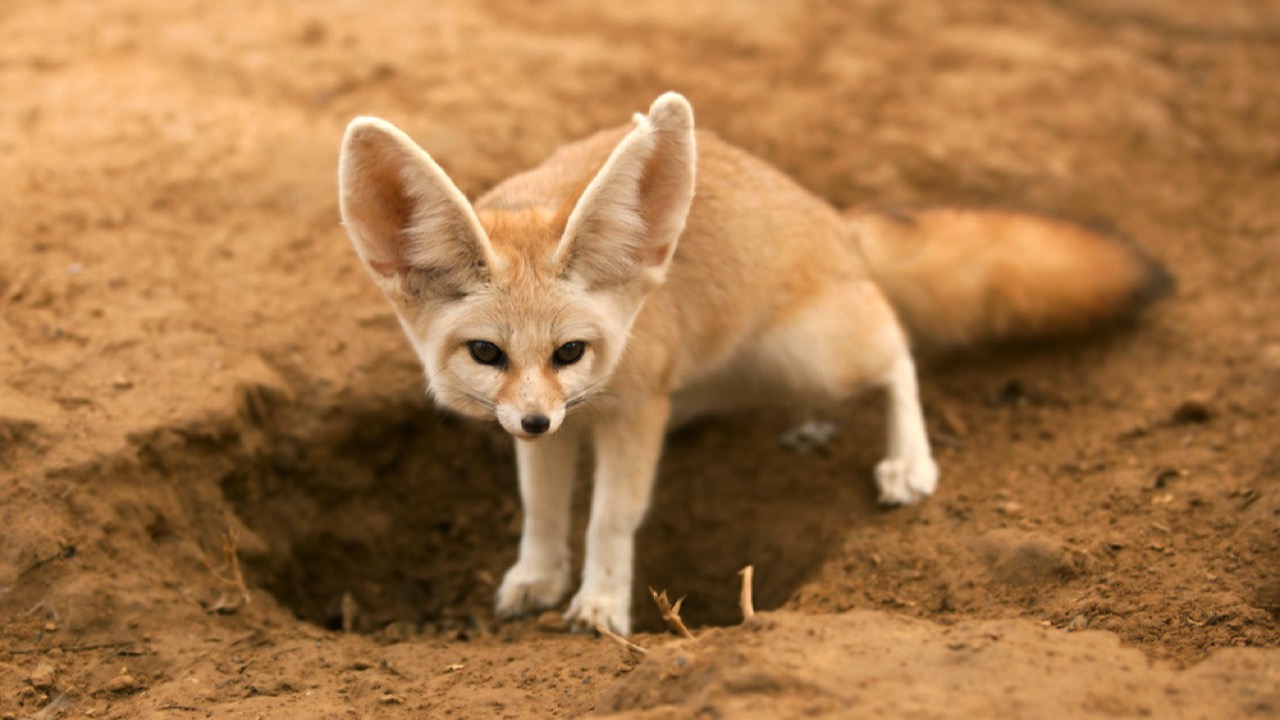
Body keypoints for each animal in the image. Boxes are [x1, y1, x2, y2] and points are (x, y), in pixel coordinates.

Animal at [337, 90, 1172, 632]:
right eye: (487, 353)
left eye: (570, 351)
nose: (537, 420)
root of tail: (836, 221)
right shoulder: (559, 424)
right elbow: (542, 509)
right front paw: (538, 577)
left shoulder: (633, 411)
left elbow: (611, 517)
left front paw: (602, 603)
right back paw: (809, 424)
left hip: (815, 351)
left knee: (897, 349)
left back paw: (909, 460)